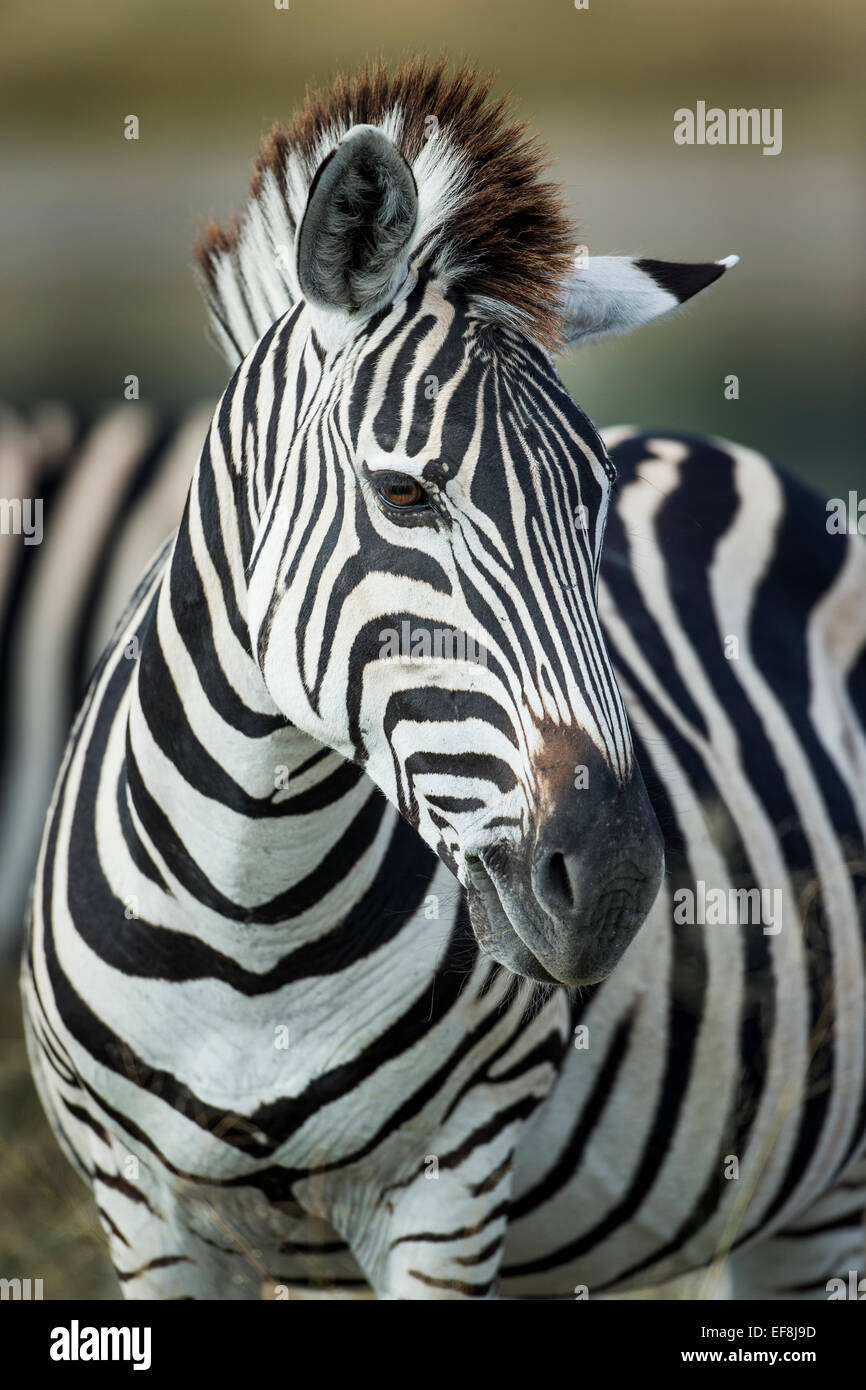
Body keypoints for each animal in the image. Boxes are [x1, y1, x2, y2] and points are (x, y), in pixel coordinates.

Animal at [22, 59, 866, 1295]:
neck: (249, 915)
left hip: (823, 1196)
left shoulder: (449, 1188)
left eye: (595, 500)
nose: (615, 881)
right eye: (404, 494)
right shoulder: (143, 1210)